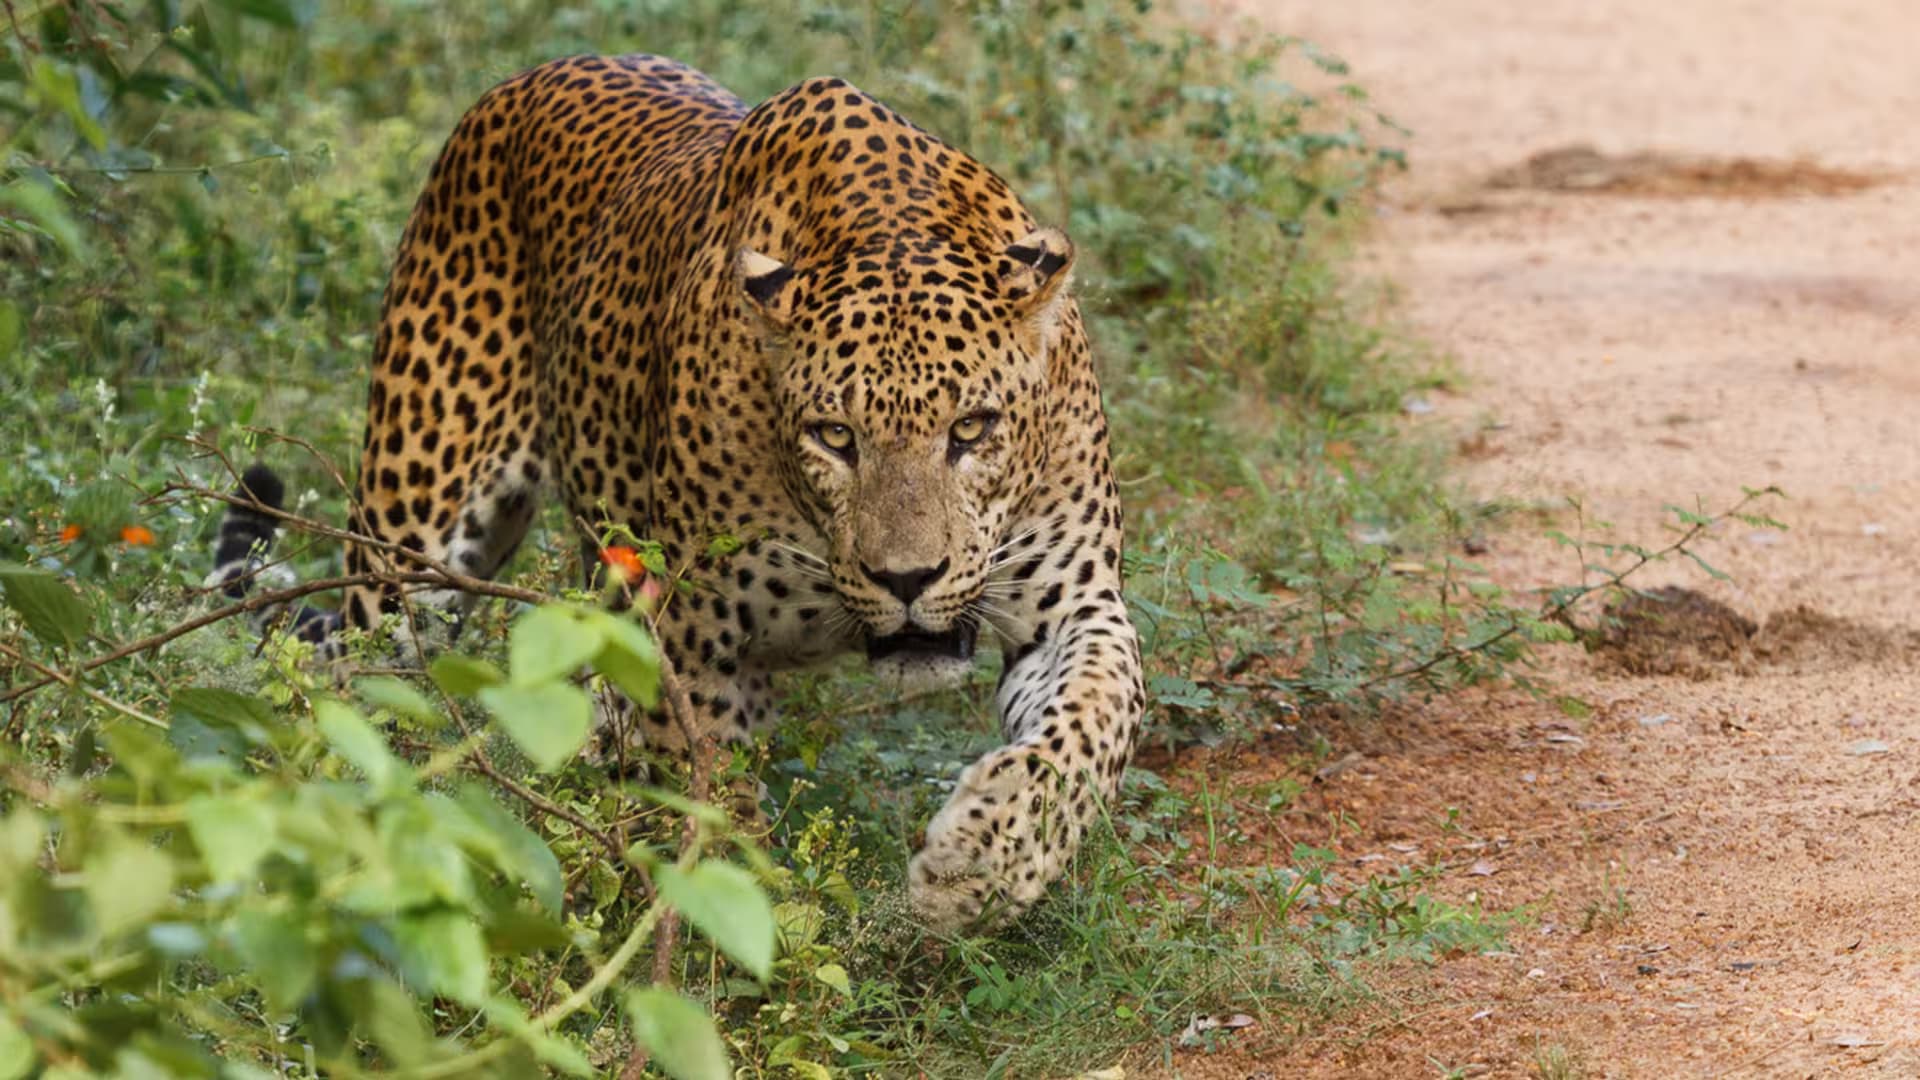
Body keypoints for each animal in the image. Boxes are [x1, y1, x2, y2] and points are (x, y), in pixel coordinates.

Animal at [212, 54, 1145, 931]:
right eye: (834, 437)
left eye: (973, 429)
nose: (907, 580)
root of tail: (524, 80)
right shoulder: (687, 636)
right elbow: (714, 811)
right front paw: (760, 941)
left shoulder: (1074, 603)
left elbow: (1094, 721)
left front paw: (982, 864)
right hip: (410, 551)